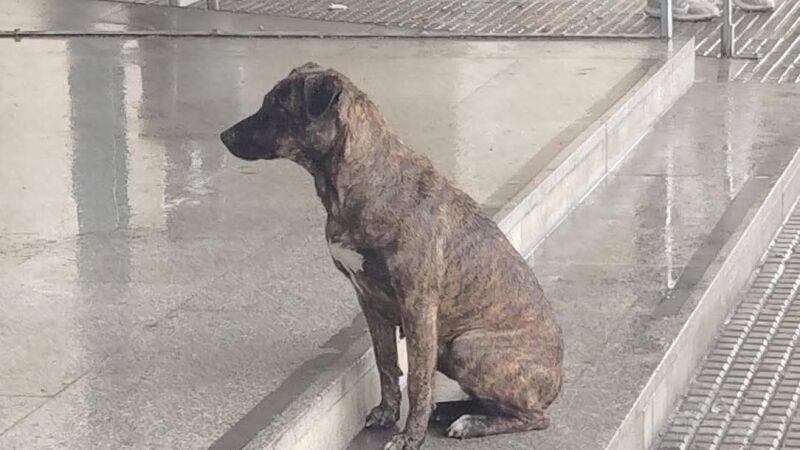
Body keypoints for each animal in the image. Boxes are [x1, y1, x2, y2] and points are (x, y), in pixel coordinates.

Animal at [220, 62, 563, 450]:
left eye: (276, 107)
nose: (223, 136)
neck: (363, 178)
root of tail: (556, 381)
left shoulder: (418, 304)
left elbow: (417, 379)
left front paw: (410, 437)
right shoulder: (369, 300)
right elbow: (385, 362)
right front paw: (387, 414)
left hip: (468, 346)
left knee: (533, 417)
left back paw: (471, 422)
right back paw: (450, 411)